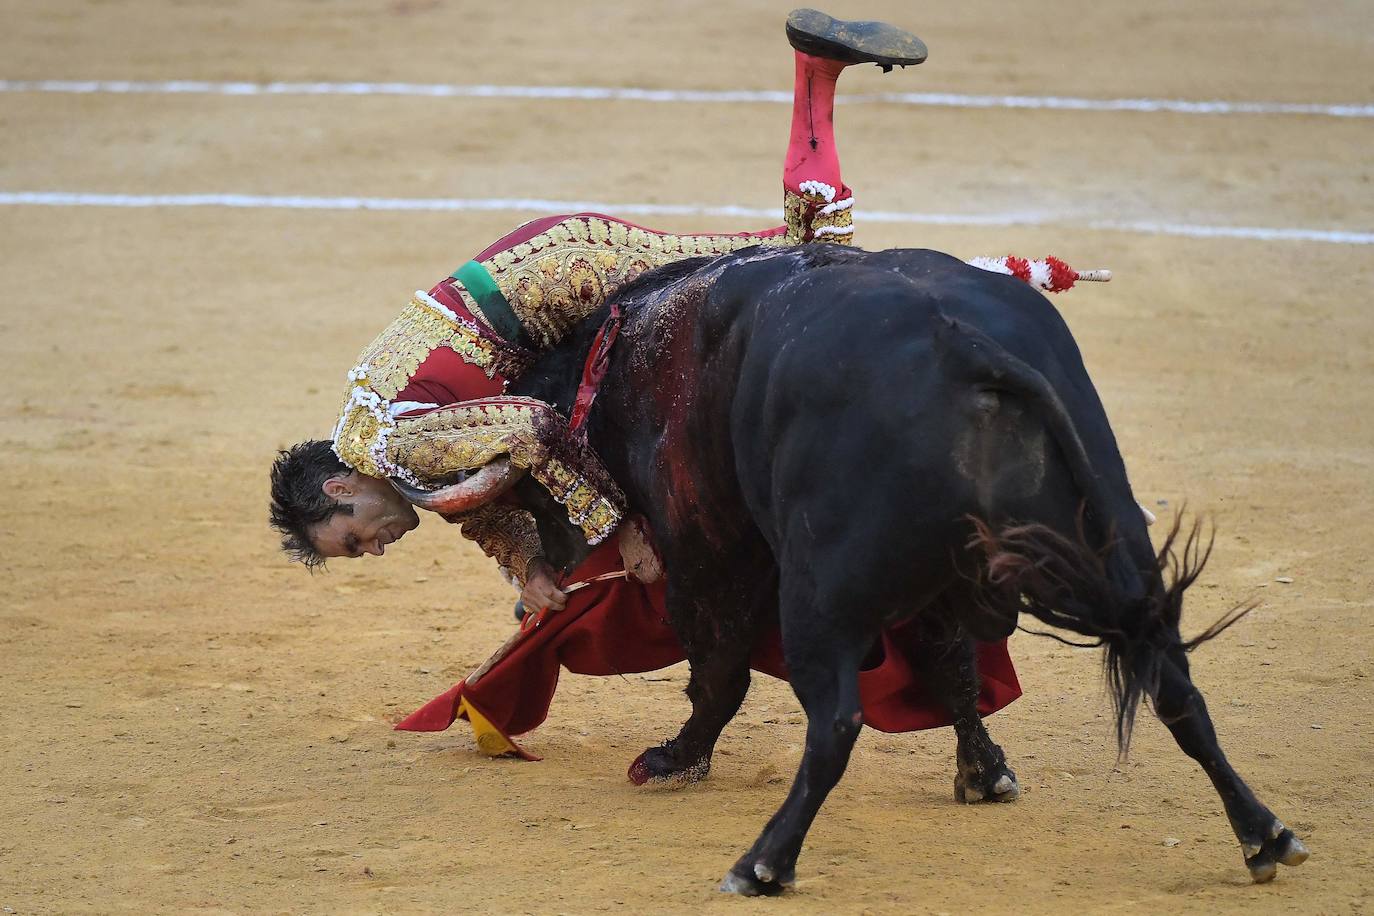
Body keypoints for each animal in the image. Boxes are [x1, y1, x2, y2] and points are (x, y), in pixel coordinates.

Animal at [472, 243, 1308, 895]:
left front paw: (675, 759)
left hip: (818, 596)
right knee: (1173, 684)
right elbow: (955, 673)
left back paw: (762, 864)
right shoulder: (945, 587)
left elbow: (719, 674)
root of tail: (964, 347)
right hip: (1115, 541)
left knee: (835, 720)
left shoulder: (706, 554)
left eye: (532, 486)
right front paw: (985, 773)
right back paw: (1263, 835)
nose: (531, 602)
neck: (632, 350)